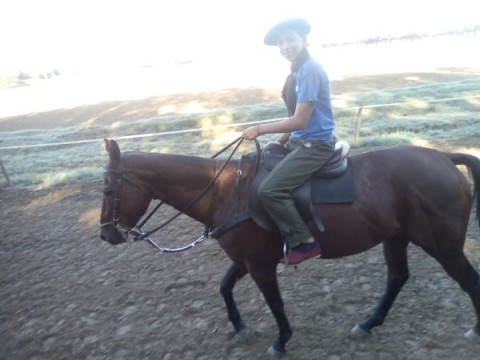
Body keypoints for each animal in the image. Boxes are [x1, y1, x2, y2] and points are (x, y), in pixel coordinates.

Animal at [99, 138, 480, 358]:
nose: (106, 235)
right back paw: (368, 323)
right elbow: (224, 286)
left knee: (469, 281)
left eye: (107, 189)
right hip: (396, 237)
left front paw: (281, 341)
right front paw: (240, 327)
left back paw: (474, 331)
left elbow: (275, 302)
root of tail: (445, 158)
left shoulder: (260, 265)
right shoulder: (246, 260)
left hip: (442, 244)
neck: (227, 190)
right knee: (398, 278)